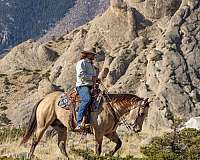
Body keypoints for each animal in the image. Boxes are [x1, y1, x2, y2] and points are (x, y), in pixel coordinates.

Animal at [20, 90, 150, 159]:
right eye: (142, 113)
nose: (137, 129)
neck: (111, 108)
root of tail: (44, 98)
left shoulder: (110, 133)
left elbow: (119, 144)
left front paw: (108, 154)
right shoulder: (99, 133)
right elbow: (98, 149)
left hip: (61, 128)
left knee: (61, 145)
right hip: (43, 125)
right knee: (35, 140)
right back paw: (29, 156)